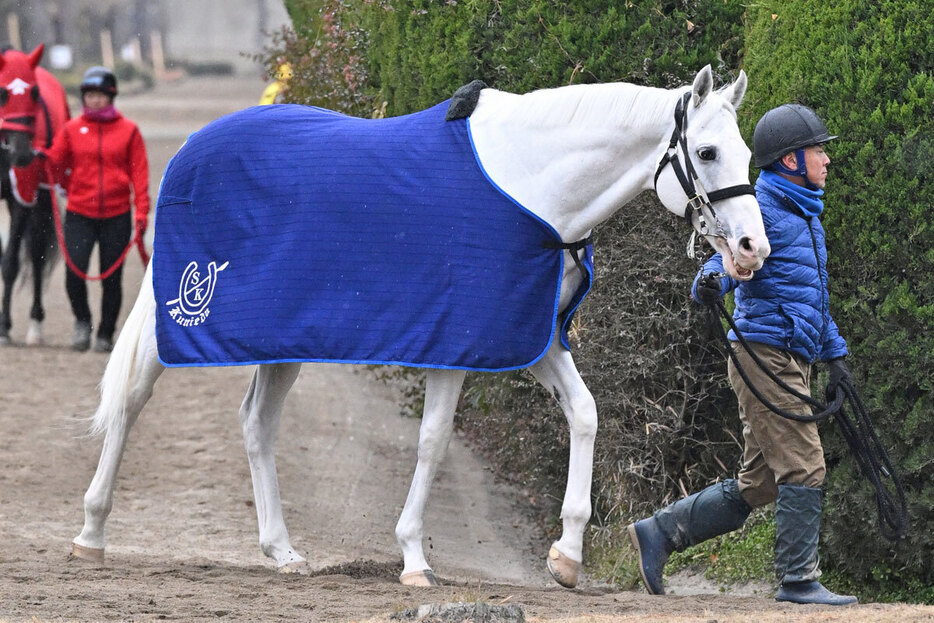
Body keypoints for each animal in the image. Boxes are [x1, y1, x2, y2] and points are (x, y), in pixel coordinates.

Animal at [71, 66, 768, 588]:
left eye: (746, 152)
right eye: (707, 152)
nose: (752, 250)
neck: (532, 188)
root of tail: (191, 148)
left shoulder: (530, 335)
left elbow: (585, 414)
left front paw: (567, 556)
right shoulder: (458, 340)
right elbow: (433, 440)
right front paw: (412, 558)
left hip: (283, 337)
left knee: (256, 424)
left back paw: (283, 551)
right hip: (176, 322)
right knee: (132, 400)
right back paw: (91, 534)